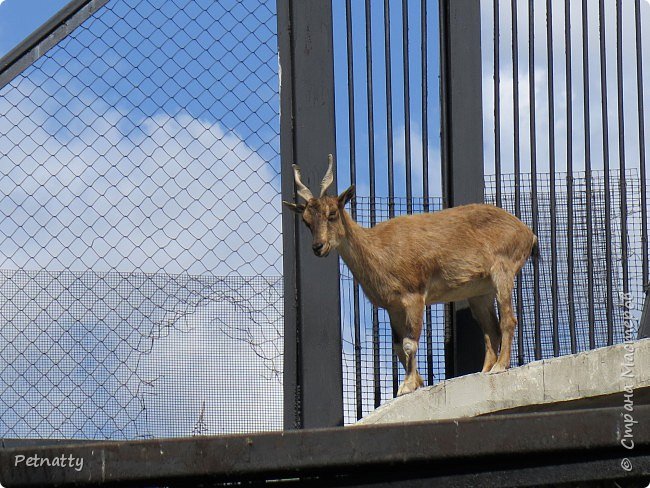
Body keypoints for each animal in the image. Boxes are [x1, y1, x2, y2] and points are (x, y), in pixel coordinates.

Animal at [280, 156, 536, 396]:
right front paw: (417, 382)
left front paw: (407, 386)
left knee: (508, 320)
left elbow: (409, 344)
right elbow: (396, 346)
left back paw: (500, 367)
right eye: (306, 221)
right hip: (479, 293)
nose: (318, 247)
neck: (379, 250)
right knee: (490, 329)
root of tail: (527, 233)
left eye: (332, 213)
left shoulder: (414, 296)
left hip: (503, 272)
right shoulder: (393, 307)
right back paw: (484, 371)